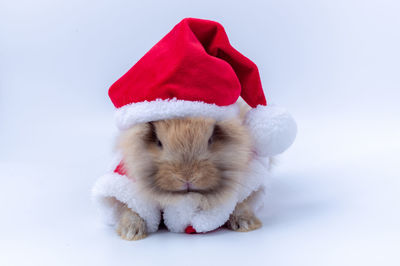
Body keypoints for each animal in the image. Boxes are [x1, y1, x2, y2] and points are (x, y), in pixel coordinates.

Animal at [114, 103, 262, 239]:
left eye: (210, 139)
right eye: (159, 142)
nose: (187, 178)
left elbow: (239, 204)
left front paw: (246, 223)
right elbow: (133, 209)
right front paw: (131, 232)